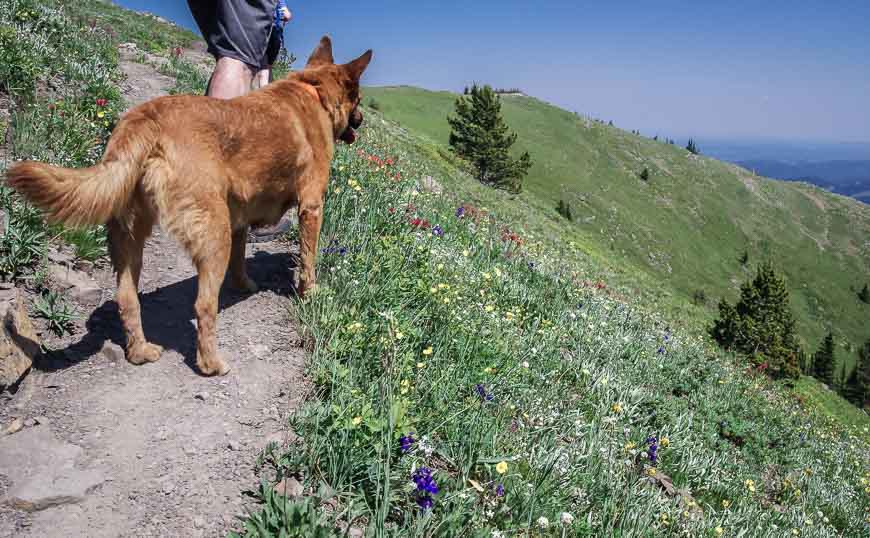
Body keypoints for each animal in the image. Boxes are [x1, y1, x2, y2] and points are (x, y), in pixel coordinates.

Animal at [7, 35, 374, 374]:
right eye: (359, 99)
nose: (361, 120)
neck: (313, 90)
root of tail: (145, 119)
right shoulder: (311, 206)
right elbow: (309, 259)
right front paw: (310, 292)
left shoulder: (240, 215)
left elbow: (240, 258)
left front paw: (244, 284)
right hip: (213, 234)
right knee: (203, 306)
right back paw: (211, 363)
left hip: (130, 235)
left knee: (127, 298)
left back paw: (140, 351)